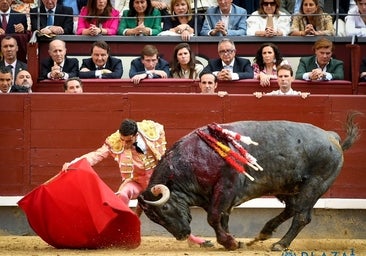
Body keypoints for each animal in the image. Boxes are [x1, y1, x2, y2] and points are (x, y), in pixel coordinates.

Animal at [138, 113, 360, 251]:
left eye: (165, 209)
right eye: (154, 219)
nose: (182, 235)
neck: (193, 160)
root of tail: (332, 137)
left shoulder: (226, 188)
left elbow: (214, 217)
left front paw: (230, 243)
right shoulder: (216, 196)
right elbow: (222, 219)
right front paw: (233, 242)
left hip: (315, 185)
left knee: (301, 216)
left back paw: (280, 244)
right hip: (288, 187)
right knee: (291, 209)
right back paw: (264, 233)